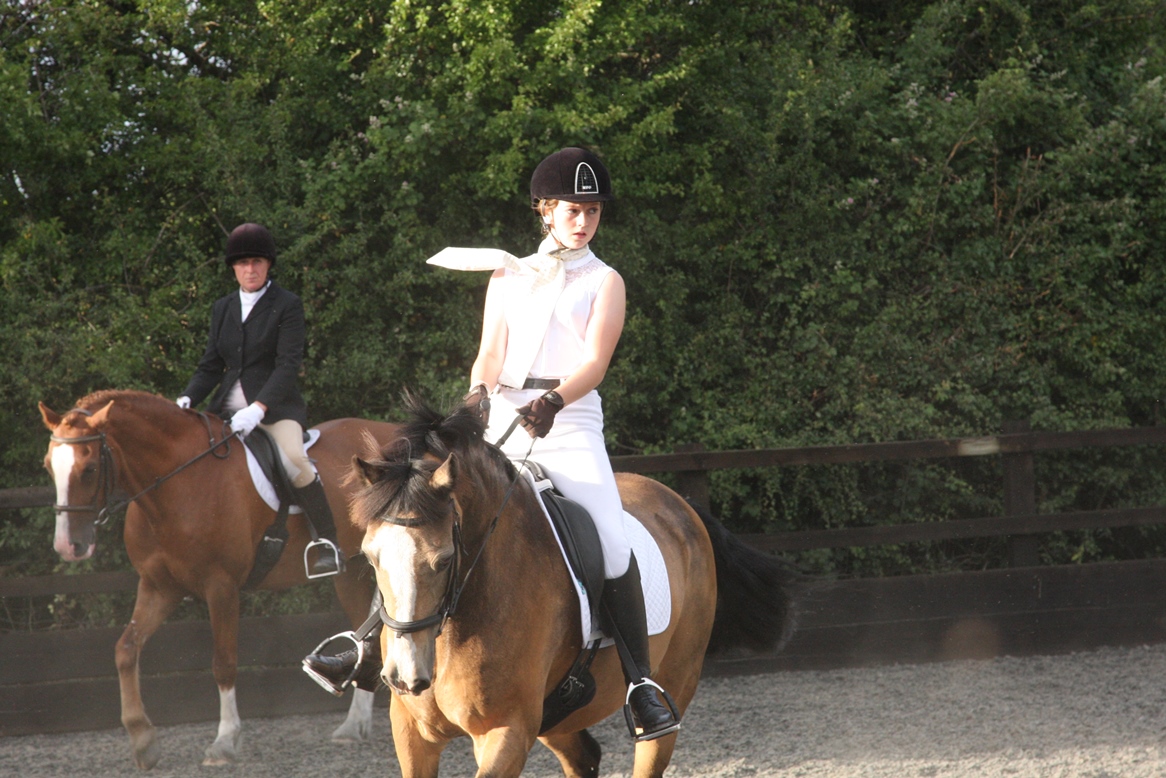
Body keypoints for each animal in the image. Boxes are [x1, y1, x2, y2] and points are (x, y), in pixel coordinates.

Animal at [38, 389, 401, 769]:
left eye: (90, 469)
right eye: (48, 466)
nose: (68, 546)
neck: (176, 484)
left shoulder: (221, 586)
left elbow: (223, 663)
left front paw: (224, 741)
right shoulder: (158, 587)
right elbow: (125, 649)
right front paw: (142, 738)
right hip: (352, 573)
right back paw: (353, 725)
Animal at [347, 396, 798, 778]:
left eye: (442, 560)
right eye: (370, 556)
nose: (405, 677)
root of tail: (680, 503)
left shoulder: (506, 730)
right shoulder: (411, 732)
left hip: (674, 683)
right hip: (557, 716)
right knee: (584, 757)